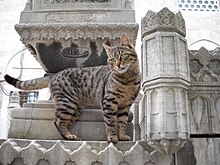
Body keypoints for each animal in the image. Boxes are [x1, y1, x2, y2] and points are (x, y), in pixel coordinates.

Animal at [4, 35, 141, 143]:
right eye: (112, 60)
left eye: (122, 56)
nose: (117, 65)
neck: (128, 79)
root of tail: (55, 74)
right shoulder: (109, 102)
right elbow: (111, 122)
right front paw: (113, 137)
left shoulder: (126, 105)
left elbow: (122, 122)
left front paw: (122, 136)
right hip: (67, 103)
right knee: (58, 121)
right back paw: (68, 136)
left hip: (75, 107)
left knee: (65, 122)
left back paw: (70, 135)